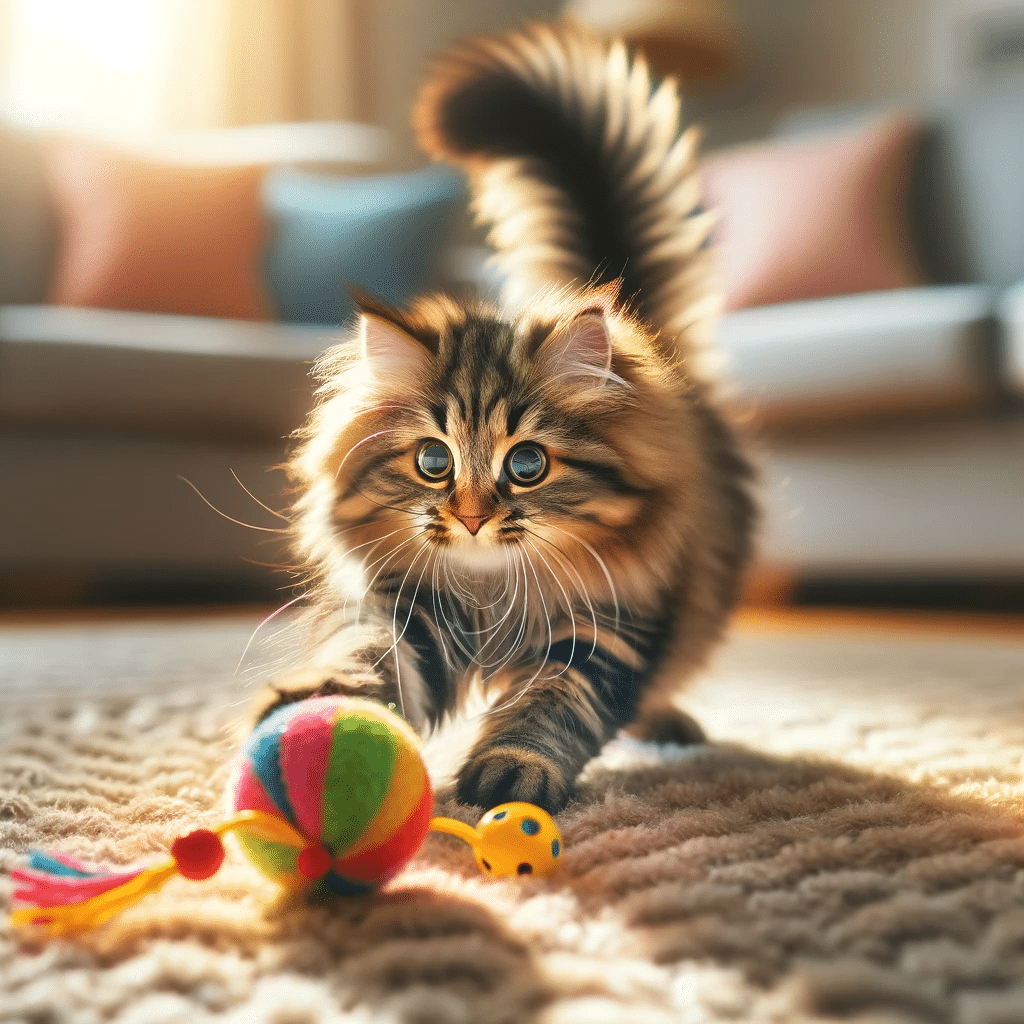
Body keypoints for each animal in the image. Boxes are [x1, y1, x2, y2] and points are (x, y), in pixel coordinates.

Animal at [251, 22, 757, 815]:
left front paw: (512, 773)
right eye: (433, 461)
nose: (469, 517)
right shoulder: (410, 617)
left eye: (527, 464)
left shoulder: (607, 630)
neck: (494, 599)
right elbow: (362, 662)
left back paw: (670, 723)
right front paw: (310, 712)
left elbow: (554, 704)